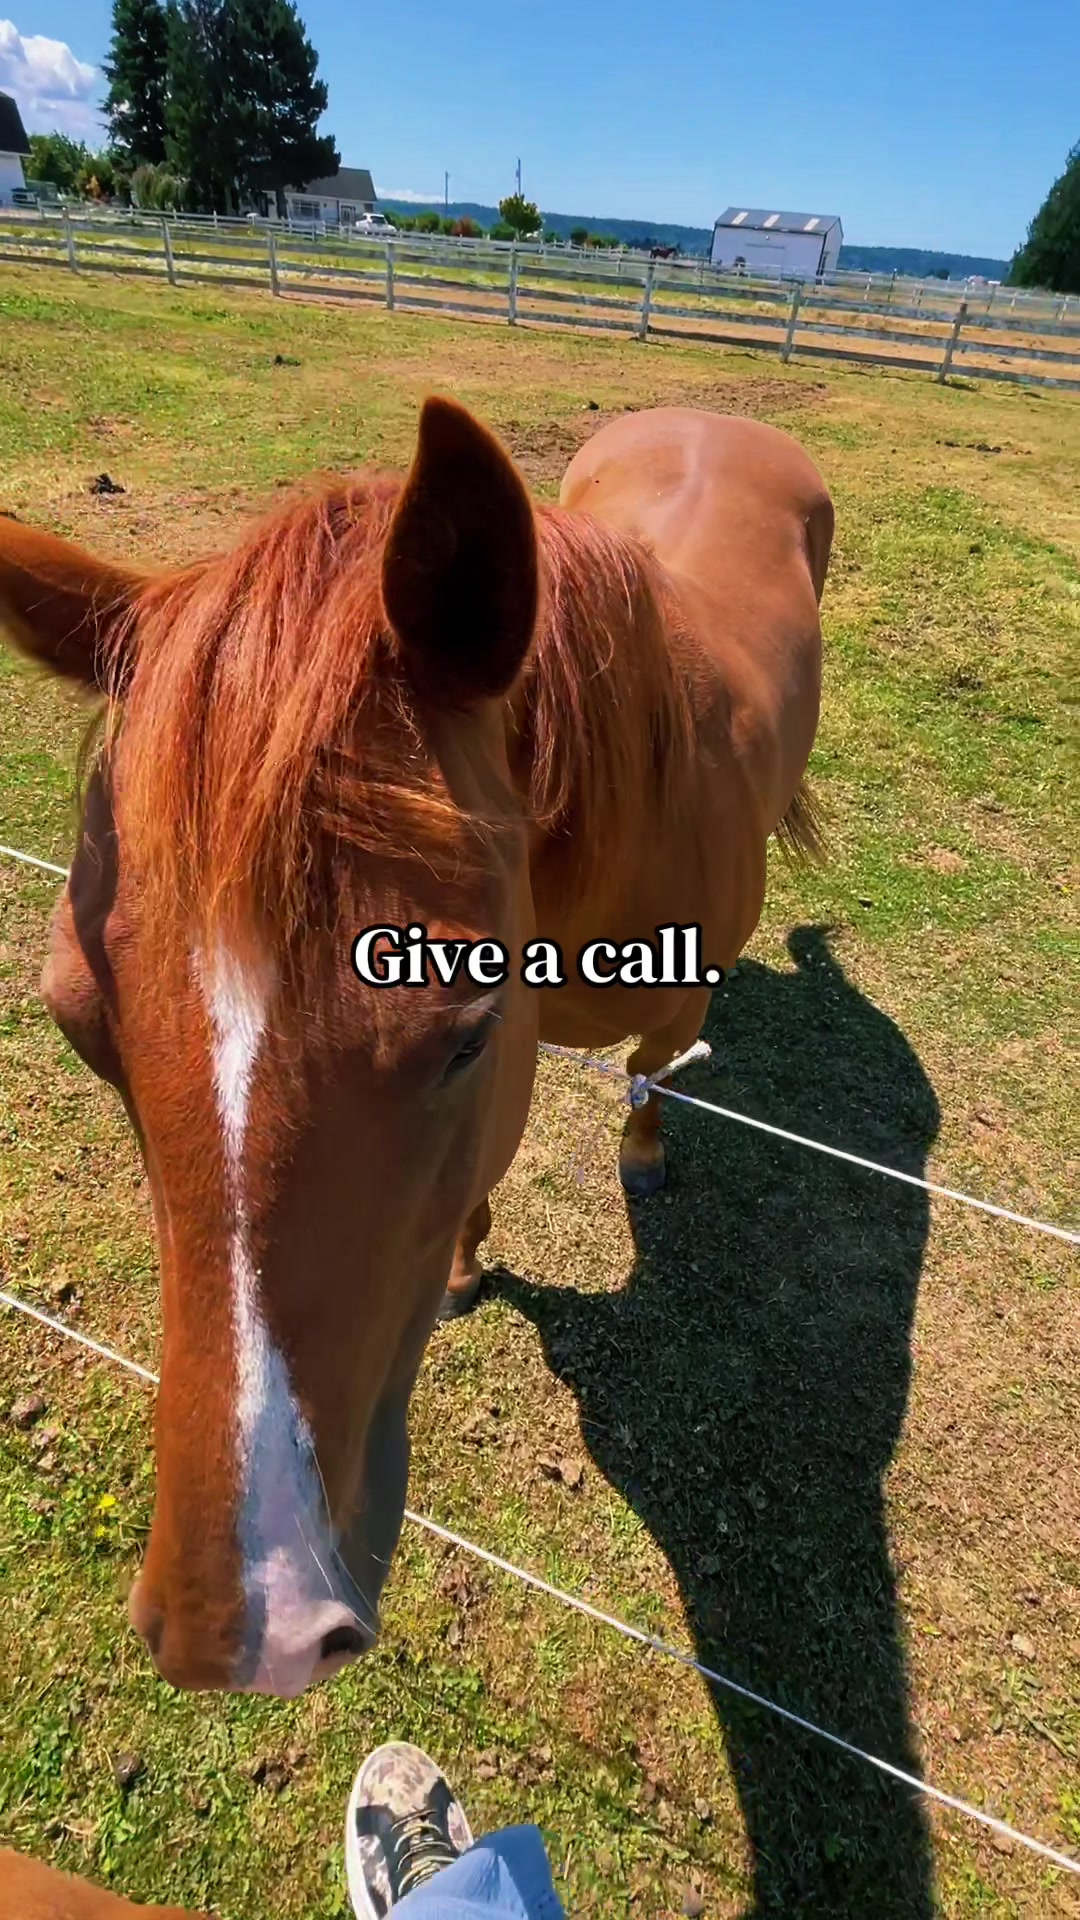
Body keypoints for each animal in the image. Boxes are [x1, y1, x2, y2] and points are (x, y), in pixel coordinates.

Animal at [0, 399, 832, 1699]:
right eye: (78, 1023)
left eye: (467, 1032)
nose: (245, 1629)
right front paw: (465, 1267)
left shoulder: (654, 1012)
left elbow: (650, 1074)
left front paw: (642, 1155)